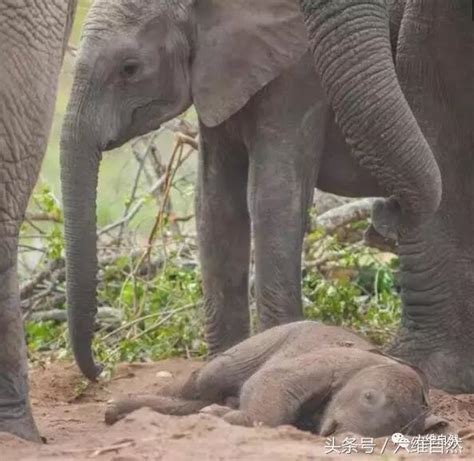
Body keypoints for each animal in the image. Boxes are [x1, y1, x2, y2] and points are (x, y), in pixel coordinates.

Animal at [60, 0, 474, 394]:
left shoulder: (299, 79)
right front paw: (222, 362)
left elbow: (273, 197)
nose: (100, 370)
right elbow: (215, 204)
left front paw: (276, 353)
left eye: (129, 68)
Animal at [103, 320, 444, 434]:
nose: (333, 436)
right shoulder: (339, 360)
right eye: (368, 396)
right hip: (267, 340)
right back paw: (113, 409)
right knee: (205, 380)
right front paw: (223, 417)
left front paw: (219, 415)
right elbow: (271, 382)